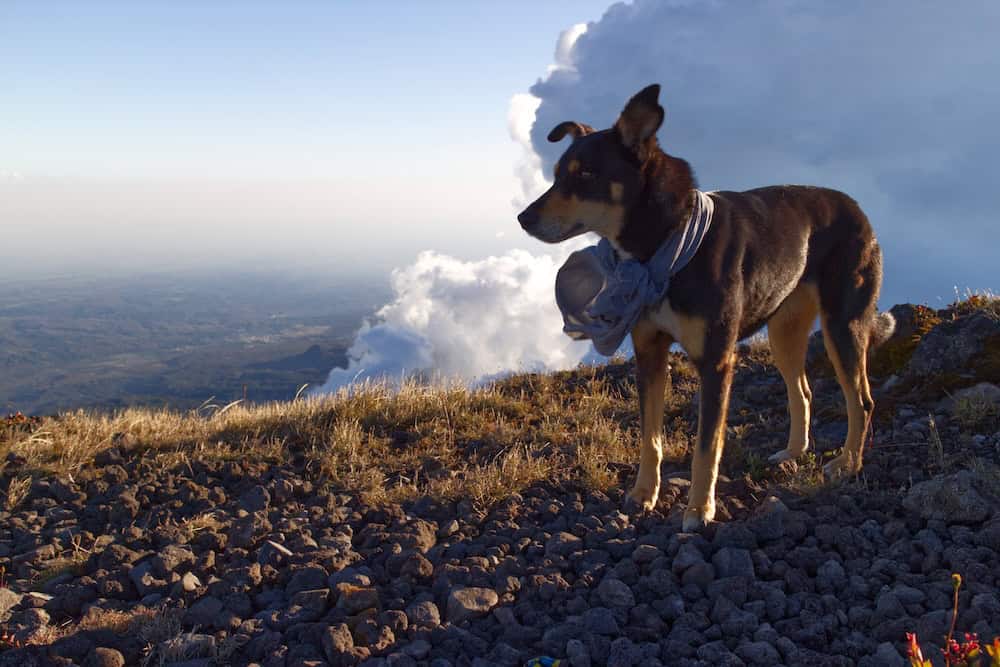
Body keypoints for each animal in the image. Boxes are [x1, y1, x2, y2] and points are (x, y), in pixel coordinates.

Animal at [520, 85, 896, 532]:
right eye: (558, 173)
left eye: (587, 174)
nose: (523, 218)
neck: (662, 243)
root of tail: (858, 208)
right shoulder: (649, 353)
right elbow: (650, 437)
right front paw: (644, 494)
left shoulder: (716, 361)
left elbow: (706, 446)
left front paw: (700, 510)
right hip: (784, 330)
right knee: (801, 390)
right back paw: (793, 452)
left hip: (844, 323)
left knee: (862, 400)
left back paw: (847, 465)